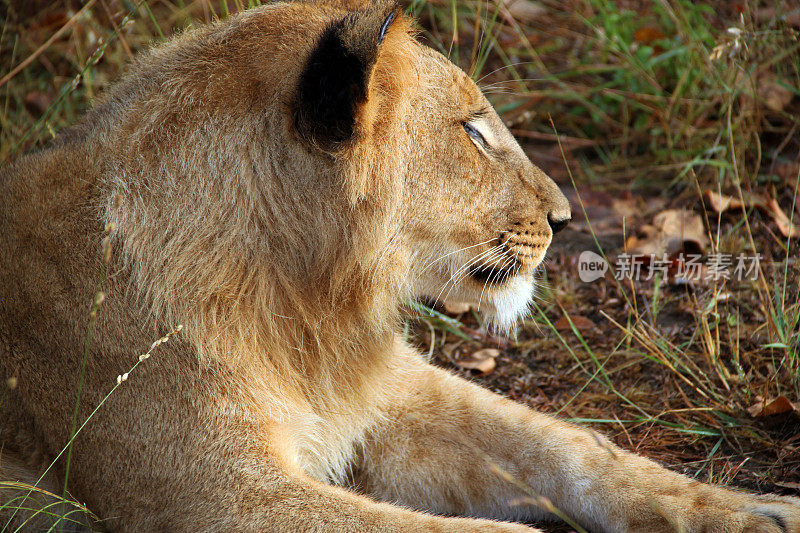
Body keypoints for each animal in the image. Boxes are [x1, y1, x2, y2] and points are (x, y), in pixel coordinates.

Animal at [1, 2, 800, 528]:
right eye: (473, 132)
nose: (563, 219)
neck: (301, 305)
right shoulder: (216, 499)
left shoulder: (391, 394)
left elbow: (570, 446)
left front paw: (752, 510)